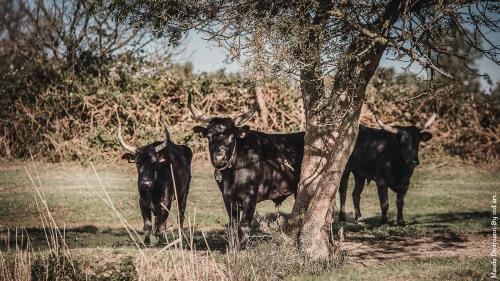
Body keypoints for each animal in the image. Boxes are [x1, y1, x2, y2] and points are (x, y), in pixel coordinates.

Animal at [117, 114, 193, 243]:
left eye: (155, 163)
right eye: (138, 163)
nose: (146, 183)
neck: (152, 190)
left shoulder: (166, 201)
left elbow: (161, 224)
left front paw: (161, 239)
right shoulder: (142, 202)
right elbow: (148, 224)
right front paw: (147, 240)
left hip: (184, 194)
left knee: (180, 215)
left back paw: (180, 236)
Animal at [188, 92, 302, 245]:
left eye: (232, 138)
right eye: (209, 137)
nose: (219, 158)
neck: (231, 175)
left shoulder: (250, 198)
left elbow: (244, 226)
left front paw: (242, 247)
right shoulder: (228, 199)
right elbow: (233, 226)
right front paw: (233, 247)